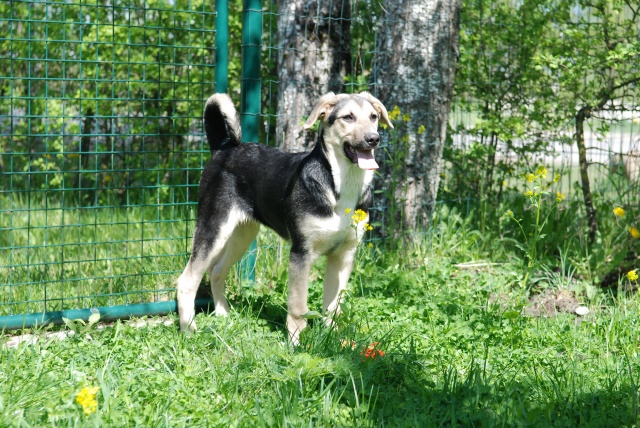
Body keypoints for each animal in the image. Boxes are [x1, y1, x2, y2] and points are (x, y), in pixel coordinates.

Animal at [176, 91, 393, 344]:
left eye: (374, 116)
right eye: (347, 117)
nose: (373, 138)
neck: (340, 185)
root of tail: (224, 148)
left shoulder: (343, 255)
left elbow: (333, 307)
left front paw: (337, 342)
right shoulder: (301, 253)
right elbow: (298, 306)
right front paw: (296, 343)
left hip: (243, 234)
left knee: (217, 271)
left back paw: (223, 315)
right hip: (213, 228)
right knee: (186, 281)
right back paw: (189, 329)